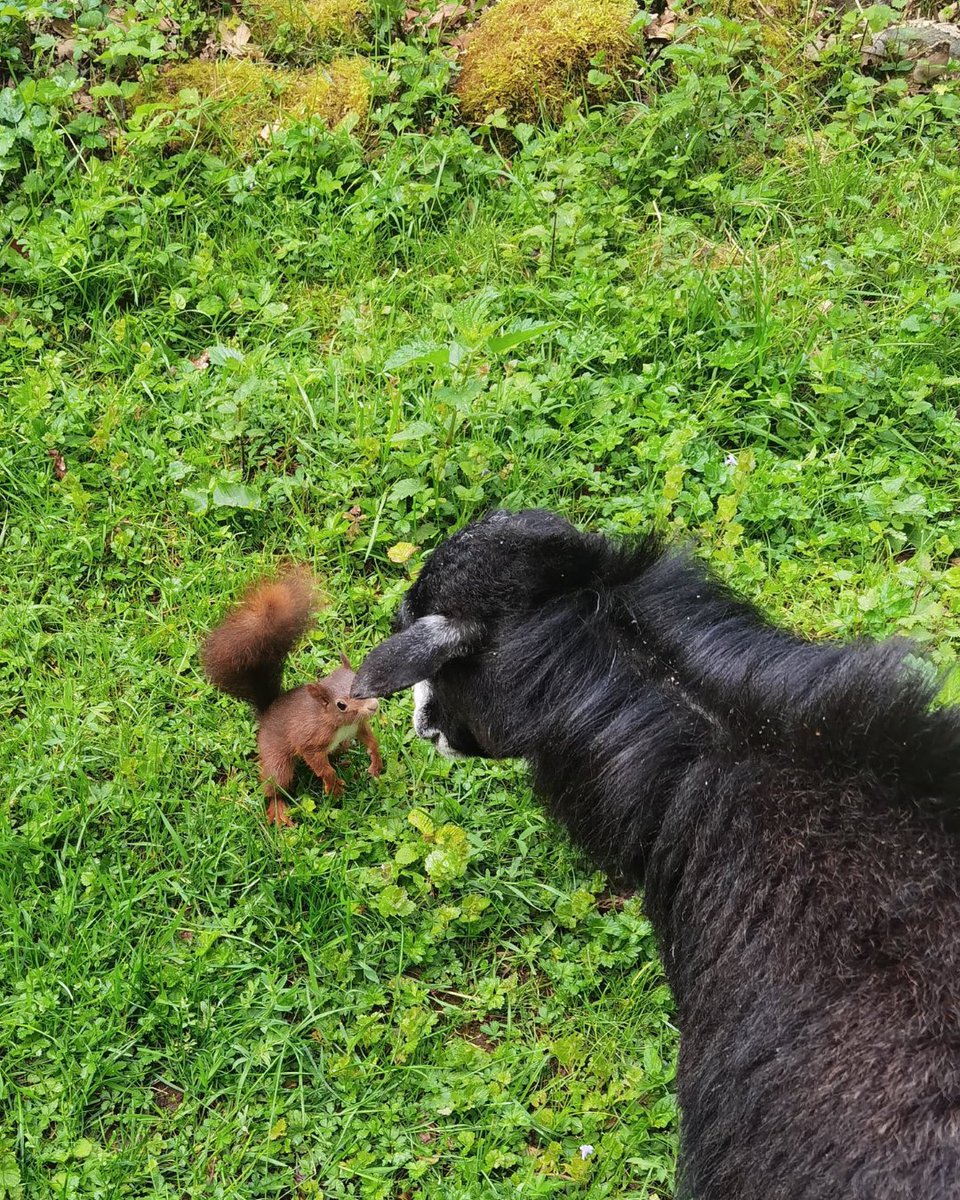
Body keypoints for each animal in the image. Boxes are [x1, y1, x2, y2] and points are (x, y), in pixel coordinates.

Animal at [201, 569, 382, 827]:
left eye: (359, 677)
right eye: (341, 705)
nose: (373, 706)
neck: (337, 723)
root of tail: (267, 713)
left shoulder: (357, 726)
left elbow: (370, 740)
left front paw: (375, 763)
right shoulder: (310, 739)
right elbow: (318, 764)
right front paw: (333, 785)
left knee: (338, 751)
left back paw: (344, 760)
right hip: (276, 757)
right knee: (275, 783)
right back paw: (279, 809)